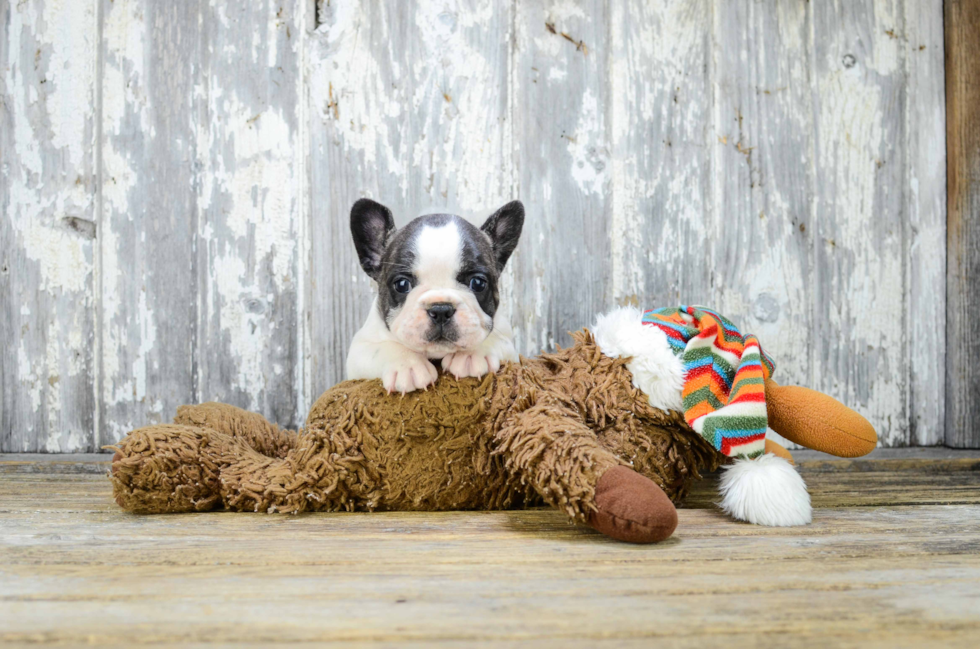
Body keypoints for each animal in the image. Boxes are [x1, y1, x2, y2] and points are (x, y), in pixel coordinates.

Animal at [348, 197, 524, 392]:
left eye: (478, 283)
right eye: (401, 285)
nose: (441, 310)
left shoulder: (509, 343)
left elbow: (493, 337)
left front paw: (472, 353)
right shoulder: (359, 350)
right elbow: (383, 348)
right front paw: (407, 365)